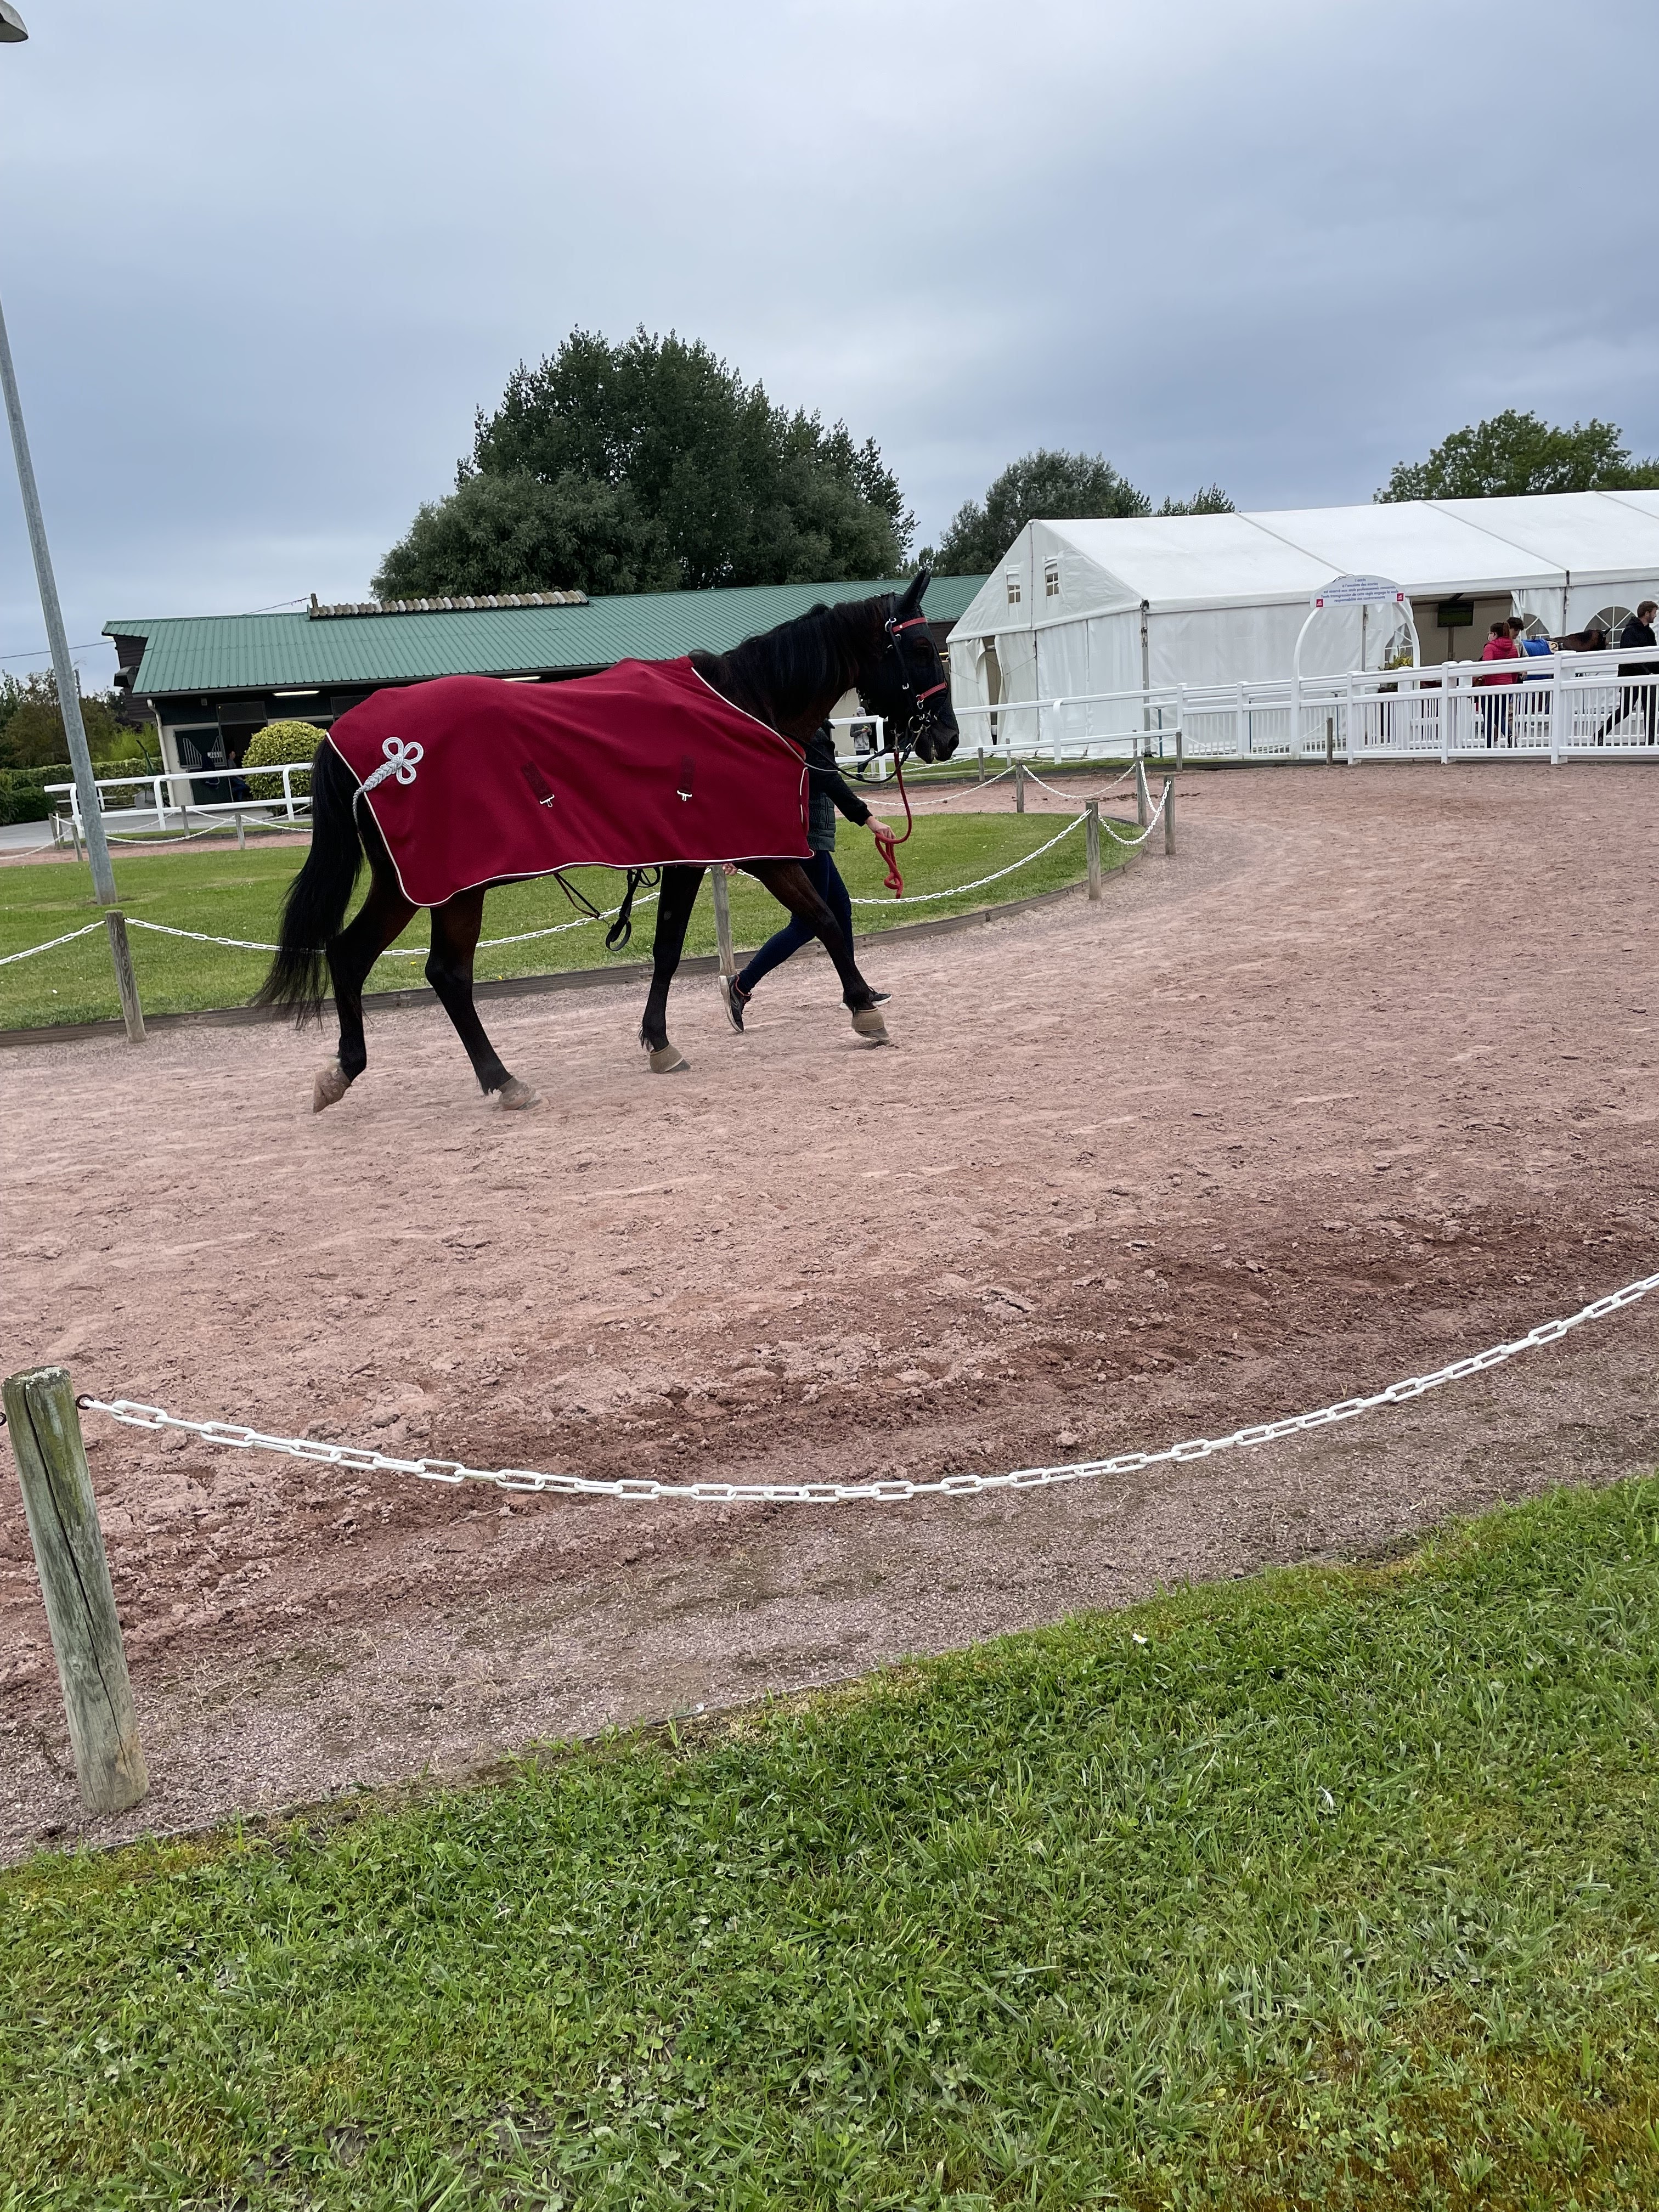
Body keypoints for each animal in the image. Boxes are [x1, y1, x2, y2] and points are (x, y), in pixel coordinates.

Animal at [256, 570, 958, 1109]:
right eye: (922, 648)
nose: (946, 737)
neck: (748, 702)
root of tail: (349, 735)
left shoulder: (704, 856)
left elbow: (688, 943)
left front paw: (662, 1042)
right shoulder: (745, 851)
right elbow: (818, 920)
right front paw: (864, 1007)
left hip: (411, 883)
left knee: (351, 955)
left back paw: (345, 1070)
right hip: (451, 885)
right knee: (447, 974)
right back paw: (503, 1080)